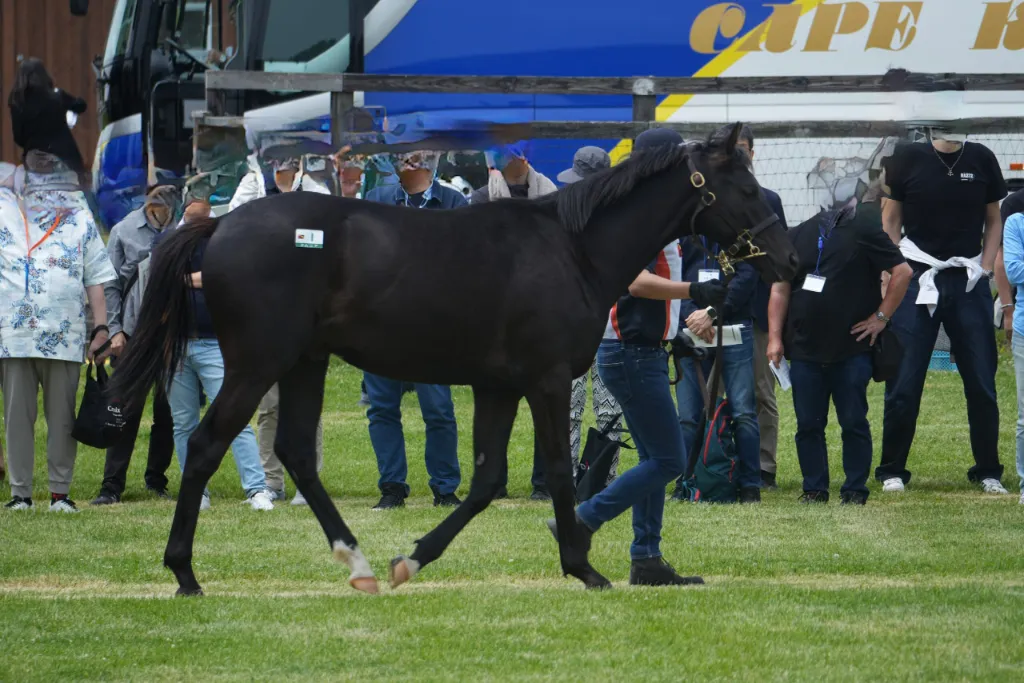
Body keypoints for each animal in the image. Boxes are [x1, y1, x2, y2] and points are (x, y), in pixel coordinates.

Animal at [111, 123, 799, 596]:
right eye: (743, 186)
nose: (789, 261)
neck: (572, 249)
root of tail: (218, 227)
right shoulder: (547, 380)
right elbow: (556, 468)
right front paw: (583, 567)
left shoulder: (498, 386)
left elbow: (487, 480)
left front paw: (409, 560)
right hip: (258, 363)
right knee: (205, 445)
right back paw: (184, 573)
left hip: (305, 361)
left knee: (297, 453)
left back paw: (359, 564)